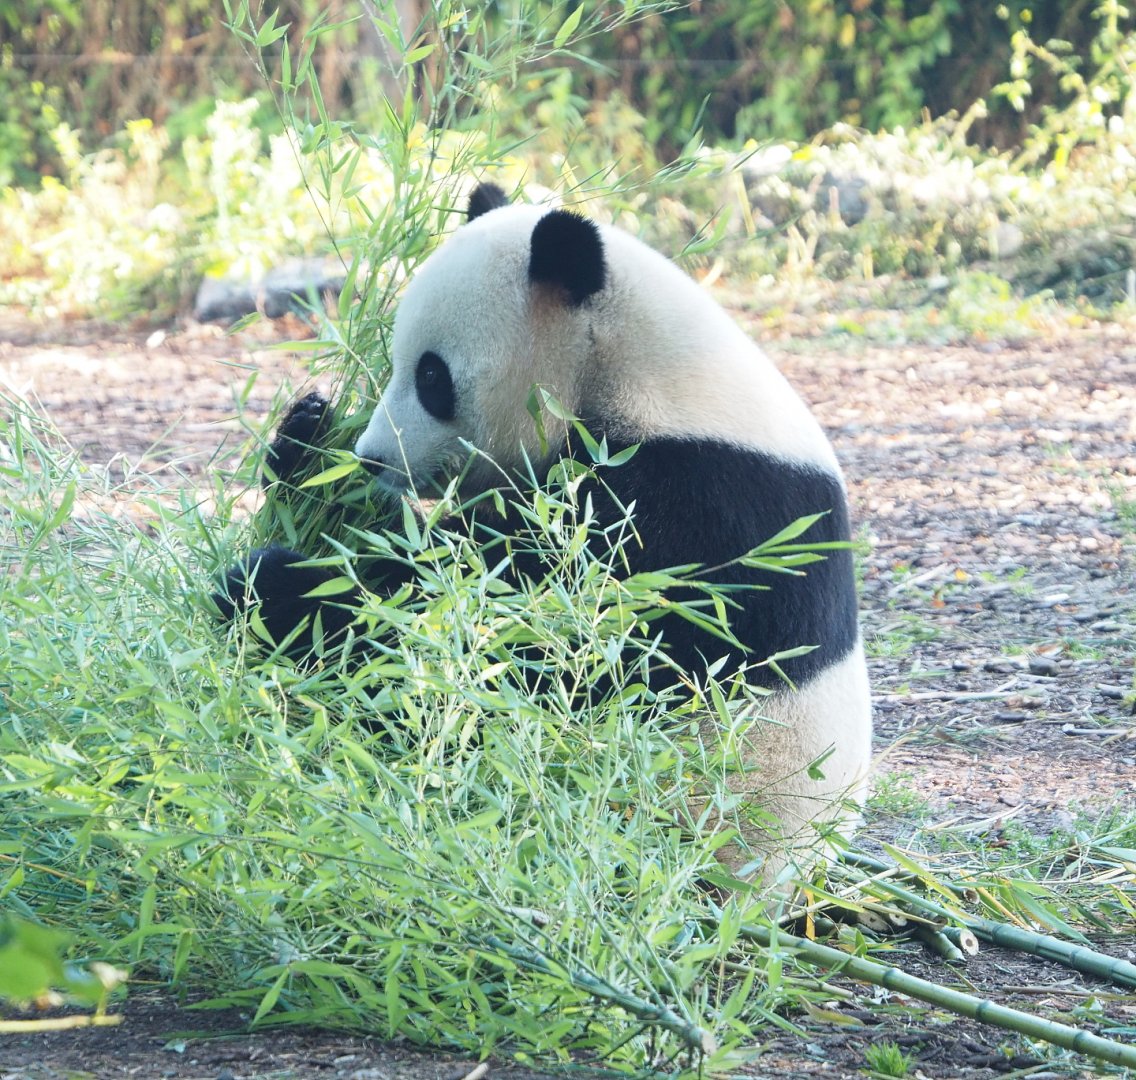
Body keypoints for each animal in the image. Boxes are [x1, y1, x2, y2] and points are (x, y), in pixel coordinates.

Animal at [218, 181, 873, 876]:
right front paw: (309, 449)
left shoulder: (702, 511)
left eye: (431, 377)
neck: (634, 366)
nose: (372, 457)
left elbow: (533, 634)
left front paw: (275, 588)